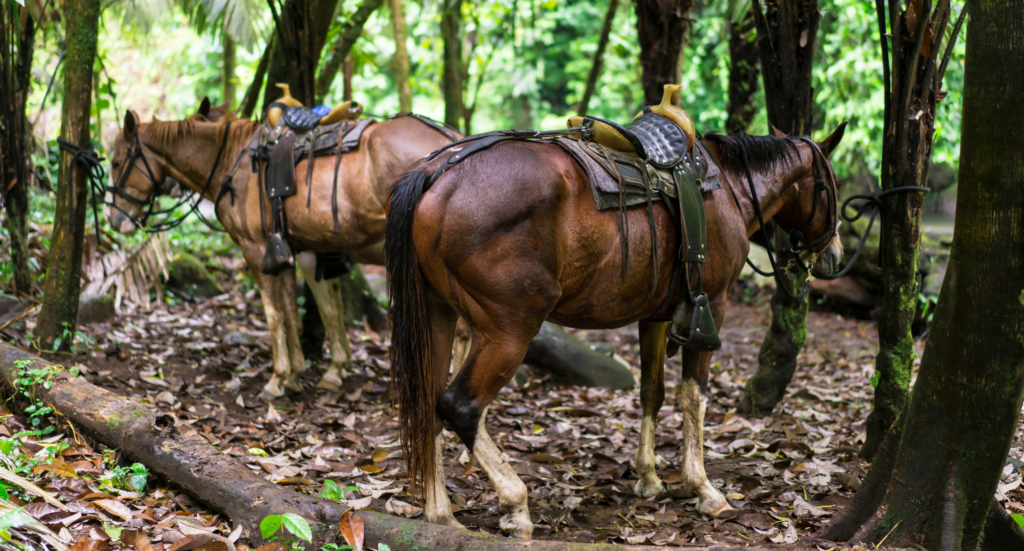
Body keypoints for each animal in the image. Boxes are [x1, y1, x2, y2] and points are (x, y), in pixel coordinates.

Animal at [106, 109, 456, 399]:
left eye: (117, 162)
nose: (114, 219)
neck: (232, 163)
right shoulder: (290, 250)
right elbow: (295, 309)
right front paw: (297, 375)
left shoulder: (257, 249)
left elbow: (274, 313)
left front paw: (278, 379)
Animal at [386, 125, 846, 538]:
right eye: (832, 187)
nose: (835, 255)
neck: (728, 188)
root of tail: (435, 174)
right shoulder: (710, 307)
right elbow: (693, 398)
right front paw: (702, 488)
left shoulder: (655, 316)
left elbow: (651, 392)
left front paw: (648, 478)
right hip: (509, 330)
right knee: (460, 406)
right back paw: (514, 502)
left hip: (437, 314)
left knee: (427, 404)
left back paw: (441, 513)